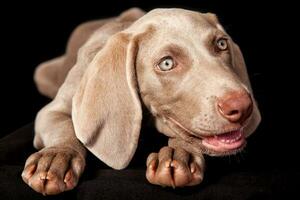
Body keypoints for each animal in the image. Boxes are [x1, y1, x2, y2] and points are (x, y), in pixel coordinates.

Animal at [21, 8, 260, 195]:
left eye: (221, 44)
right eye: (166, 63)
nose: (242, 106)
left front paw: (180, 155)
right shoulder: (51, 111)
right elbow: (64, 127)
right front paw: (56, 157)